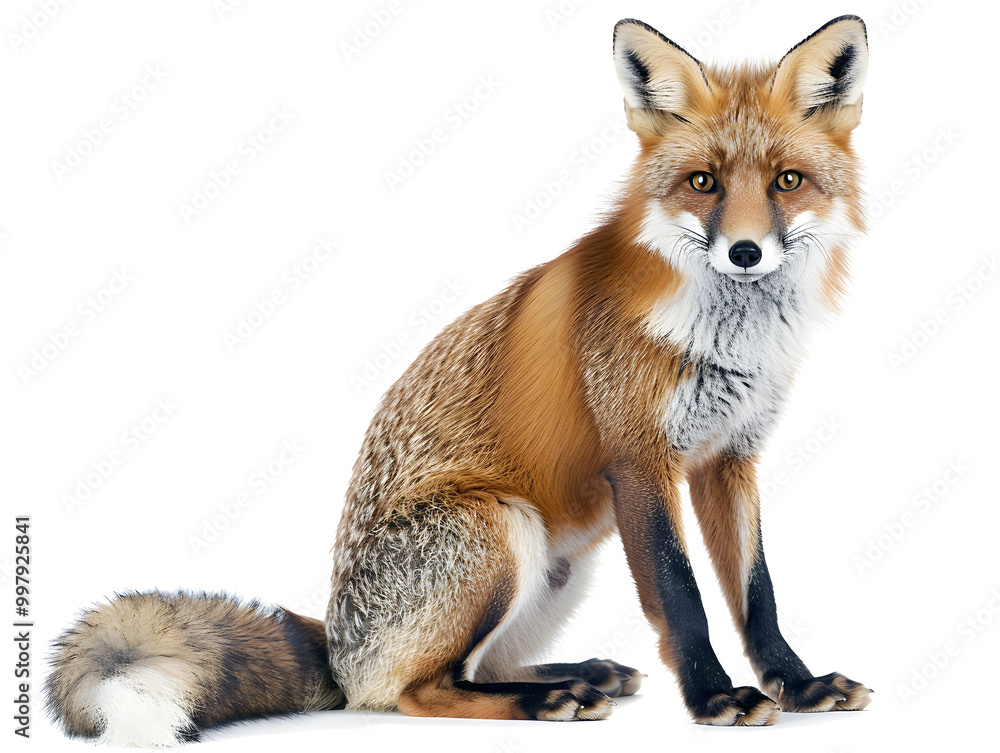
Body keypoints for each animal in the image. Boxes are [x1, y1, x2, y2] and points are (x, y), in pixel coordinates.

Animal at [46, 16, 872, 745]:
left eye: (788, 181)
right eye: (703, 182)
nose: (744, 252)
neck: (728, 336)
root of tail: (337, 644)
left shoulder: (731, 457)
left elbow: (757, 593)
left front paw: (797, 685)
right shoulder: (640, 458)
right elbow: (682, 594)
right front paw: (712, 698)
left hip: (559, 566)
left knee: (484, 666)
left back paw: (577, 675)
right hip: (500, 525)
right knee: (420, 690)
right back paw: (548, 701)